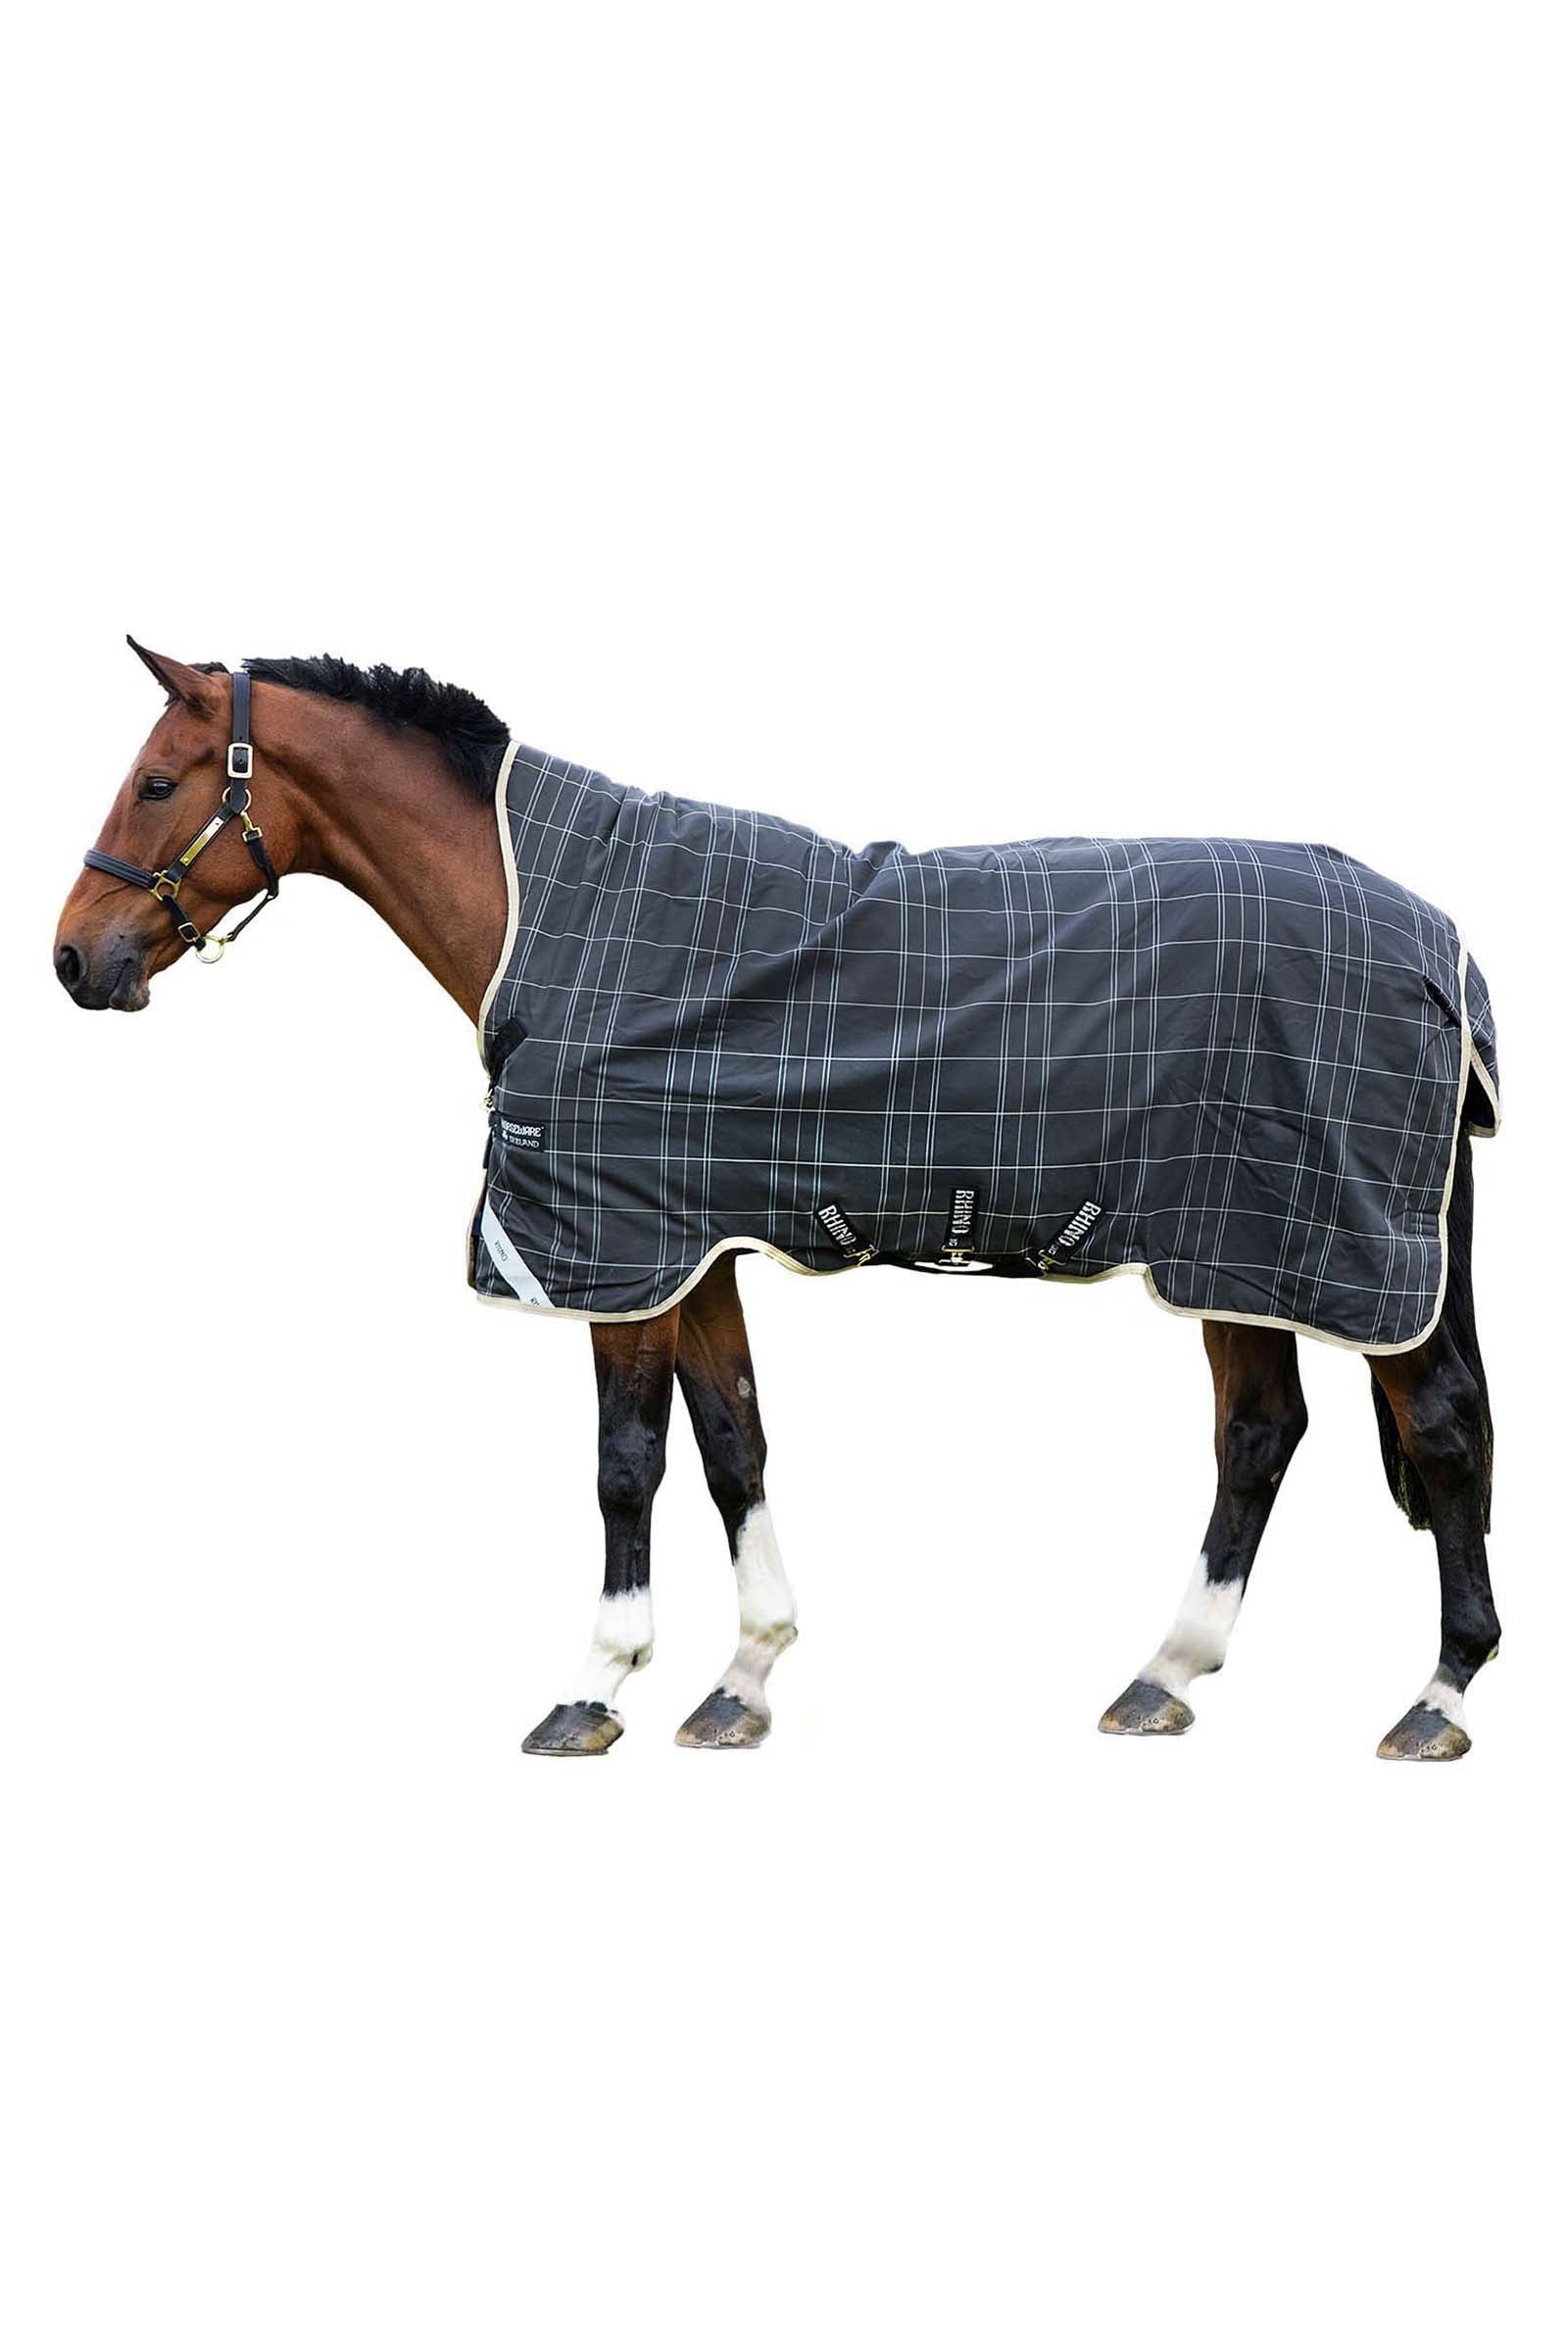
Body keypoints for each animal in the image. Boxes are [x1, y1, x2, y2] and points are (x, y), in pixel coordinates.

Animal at [54, 641, 1502, 1762]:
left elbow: (625, 1465)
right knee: (1262, 1434)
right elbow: (731, 1442)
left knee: (1435, 1430)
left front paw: (594, 1686)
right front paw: (742, 1678)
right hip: (1241, 1250)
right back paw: (1163, 1677)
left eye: (159, 781)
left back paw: (1436, 1698)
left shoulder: (616, 1254)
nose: (75, 959)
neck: (553, 913)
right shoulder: (696, 1250)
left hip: (1320, 1245)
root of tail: (1440, 948)